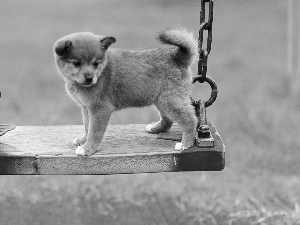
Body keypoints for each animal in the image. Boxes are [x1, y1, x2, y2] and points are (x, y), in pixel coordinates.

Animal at [54, 27, 198, 156]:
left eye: (96, 63)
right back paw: (155, 128)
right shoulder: (87, 108)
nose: (89, 78)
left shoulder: (100, 109)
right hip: (162, 100)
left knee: (190, 120)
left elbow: (94, 131)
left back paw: (185, 144)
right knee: (168, 120)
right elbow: (87, 126)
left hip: (170, 100)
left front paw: (88, 148)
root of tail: (177, 57)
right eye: (76, 63)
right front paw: (83, 140)